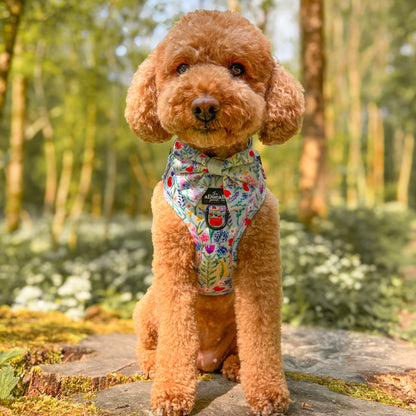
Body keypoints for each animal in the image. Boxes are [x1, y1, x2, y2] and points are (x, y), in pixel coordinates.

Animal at [125, 9, 304, 416]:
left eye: (237, 69)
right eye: (181, 67)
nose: (204, 104)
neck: (215, 171)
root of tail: (205, 359)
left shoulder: (260, 266)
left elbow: (261, 336)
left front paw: (268, 393)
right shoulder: (172, 265)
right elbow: (177, 334)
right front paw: (171, 393)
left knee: (236, 349)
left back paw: (235, 365)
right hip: (148, 304)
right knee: (150, 343)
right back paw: (153, 364)